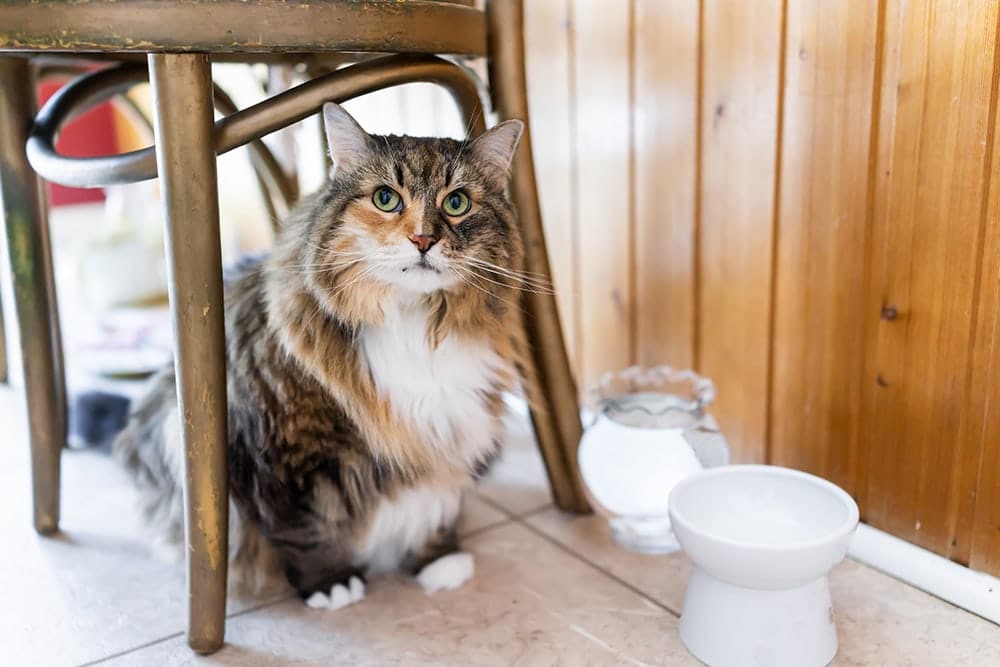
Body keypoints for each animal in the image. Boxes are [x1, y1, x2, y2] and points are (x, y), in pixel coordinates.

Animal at [114, 103, 536, 612]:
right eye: (386, 199)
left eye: (456, 203)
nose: (422, 240)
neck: (413, 322)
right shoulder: (287, 448)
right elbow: (304, 528)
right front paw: (331, 584)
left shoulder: (452, 429)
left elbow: (438, 500)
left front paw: (438, 559)